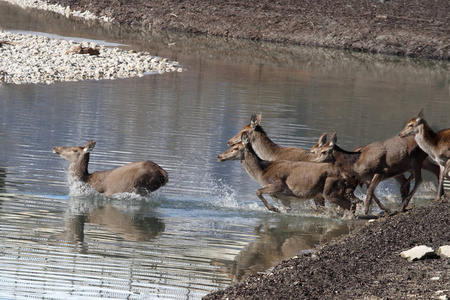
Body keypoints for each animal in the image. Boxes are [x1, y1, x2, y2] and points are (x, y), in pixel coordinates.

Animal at [216, 132, 360, 213]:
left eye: (235, 148)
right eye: (232, 146)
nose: (219, 156)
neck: (262, 173)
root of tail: (345, 174)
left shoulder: (278, 185)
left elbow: (258, 191)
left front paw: (273, 209)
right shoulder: (284, 198)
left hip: (330, 191)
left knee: (351, 205)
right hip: (324, 194)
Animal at [312, 132, 440, 214]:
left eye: (323, 151)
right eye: (319, 150)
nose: (313, 161)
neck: (357, 164)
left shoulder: (382, 171)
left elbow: (369, 192)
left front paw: (366, 212)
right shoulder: (366, 179)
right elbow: (371, 192)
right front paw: (384, 209)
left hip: (416, 160)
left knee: (419, 179)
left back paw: (403, 204)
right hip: (422, 161)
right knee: (436, 168)